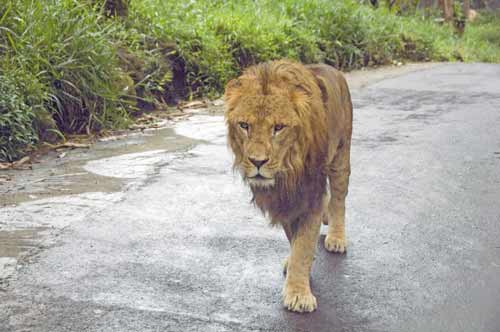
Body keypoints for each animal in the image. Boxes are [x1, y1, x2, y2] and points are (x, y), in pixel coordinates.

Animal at [225, 60, 354, 314]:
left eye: (278, 127)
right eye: (244, 125)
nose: (257, 162)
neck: (287, 172)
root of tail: (332, 68)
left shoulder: (311, 194)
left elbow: (303, 244)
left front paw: (298, 295)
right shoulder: (284, 201)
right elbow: (295, 239)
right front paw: (297, 267)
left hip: (341, 157)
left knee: (338, 200)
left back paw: (336, 237)